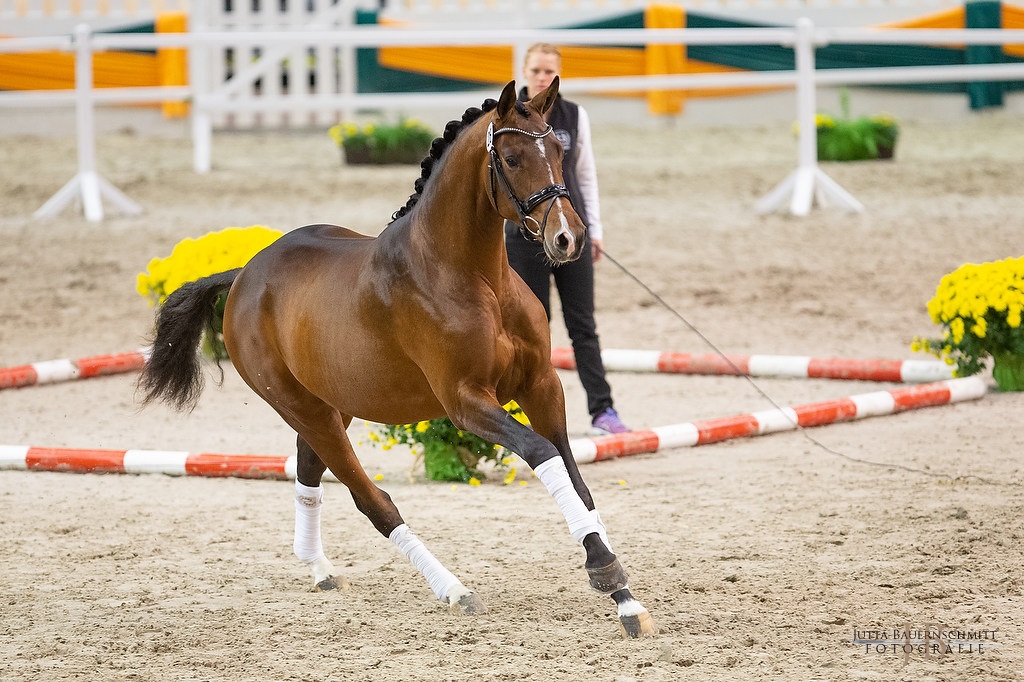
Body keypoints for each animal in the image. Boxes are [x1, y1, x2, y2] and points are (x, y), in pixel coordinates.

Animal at [138, 79, 655, 638]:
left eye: (560, 150)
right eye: (513, 159)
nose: (568, 238)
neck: (475, 276)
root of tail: (243, 275)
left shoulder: (541, 385)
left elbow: (575, 477)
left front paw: (624, 597)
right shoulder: (465, 402)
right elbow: (542, 454)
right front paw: (606, 573)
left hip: (332, 405)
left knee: (308, 469)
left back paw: (320, 570)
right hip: (304, 408)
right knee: (371, 500)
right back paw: (453, 590)